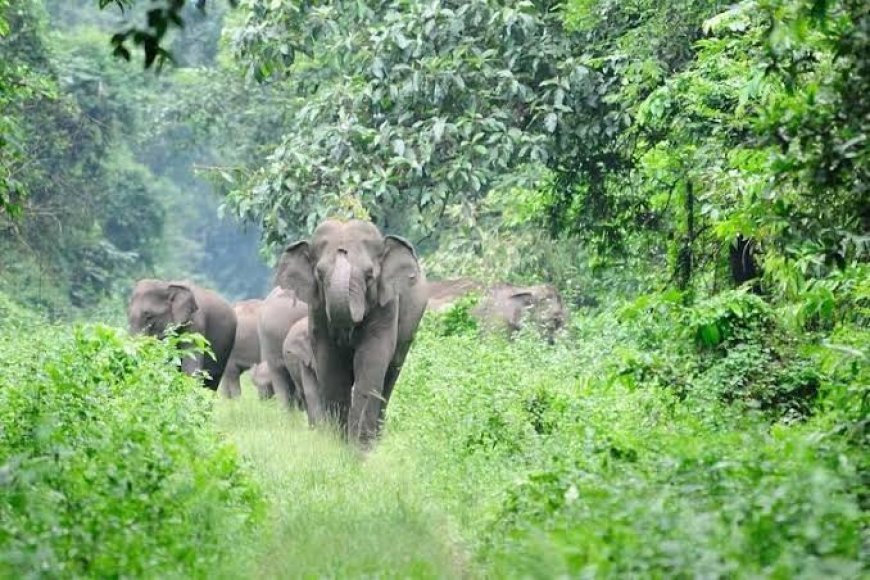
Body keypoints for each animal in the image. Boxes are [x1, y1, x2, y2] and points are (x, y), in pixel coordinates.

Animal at [274, 219, 428, 444]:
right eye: (319, 274)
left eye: (370, 275)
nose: (342, 250)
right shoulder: (317, 311)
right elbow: (330, 364)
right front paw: (338, 445)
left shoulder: (387, 305)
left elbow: (371, 360)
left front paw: (360, 449)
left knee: (390, 376)